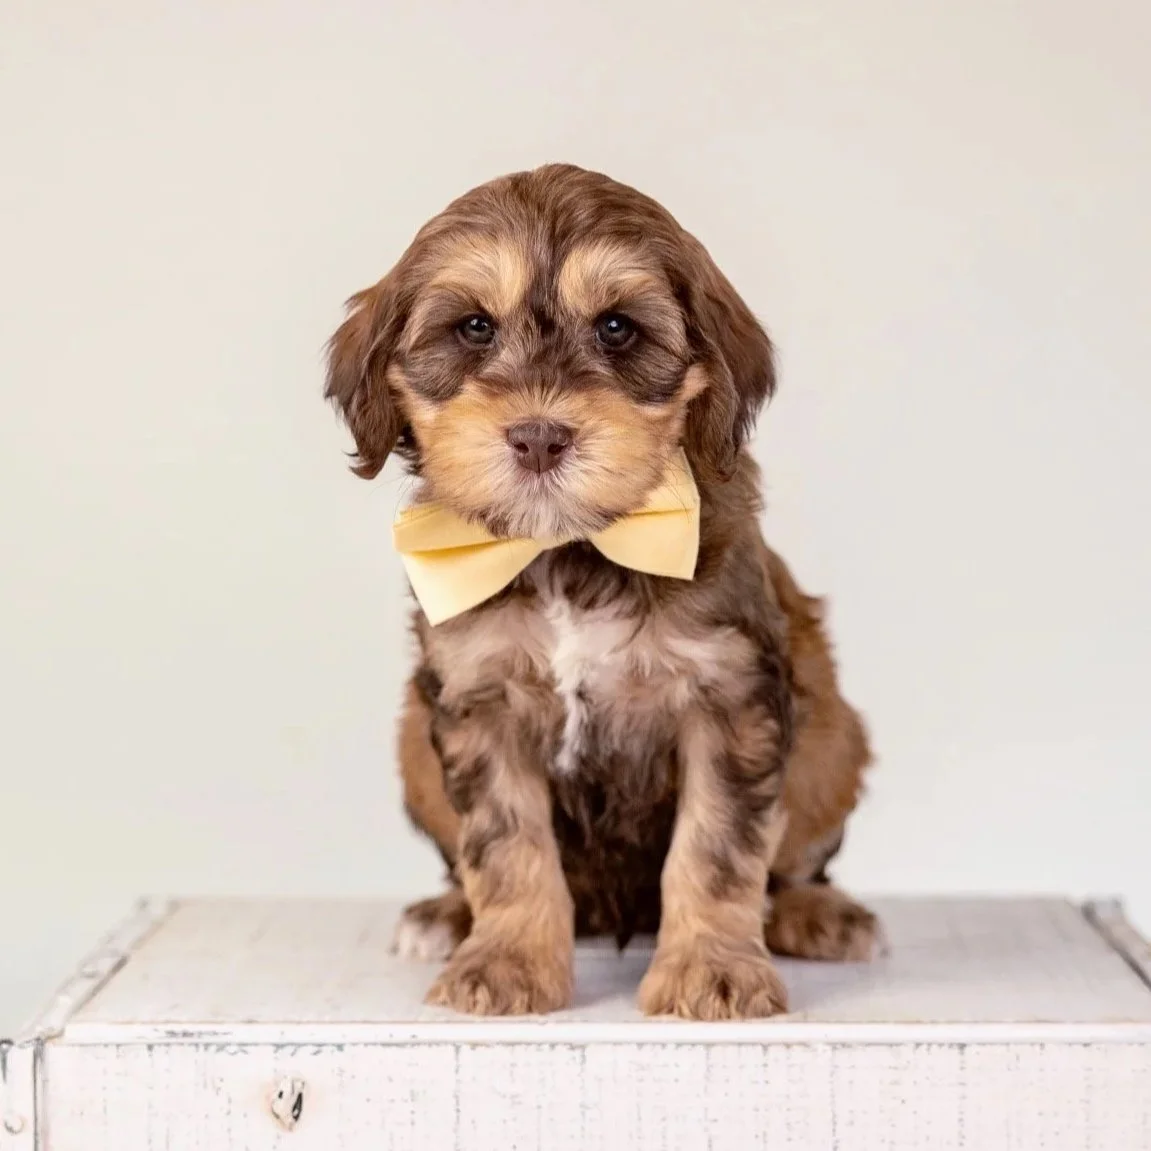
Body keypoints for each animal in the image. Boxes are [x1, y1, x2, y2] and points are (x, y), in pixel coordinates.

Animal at [325, 163, 878, 1019]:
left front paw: (712, 969)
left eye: (616, 328)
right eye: (474, 328)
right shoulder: (480, 701)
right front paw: (507, 961)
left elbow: (716, 847)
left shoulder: (729, 699)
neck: (567, 549)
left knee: (791, 860)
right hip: (413, 746)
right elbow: (505, 845)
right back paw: (445, 914)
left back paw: (815, 910)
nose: (538, 436)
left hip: (834, 742)